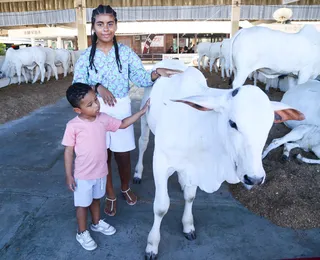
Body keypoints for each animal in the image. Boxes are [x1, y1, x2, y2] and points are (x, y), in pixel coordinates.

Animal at [134, 60, 304, 258]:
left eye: (269, 125)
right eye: (233, 123)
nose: (254, 178)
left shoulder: (195, 166)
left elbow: (190, 197)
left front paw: (188, 226)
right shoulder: (161, 163)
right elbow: (161, 207)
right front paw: (152, 245)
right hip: (144, 117)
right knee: (143, 143)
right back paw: (138, 173)